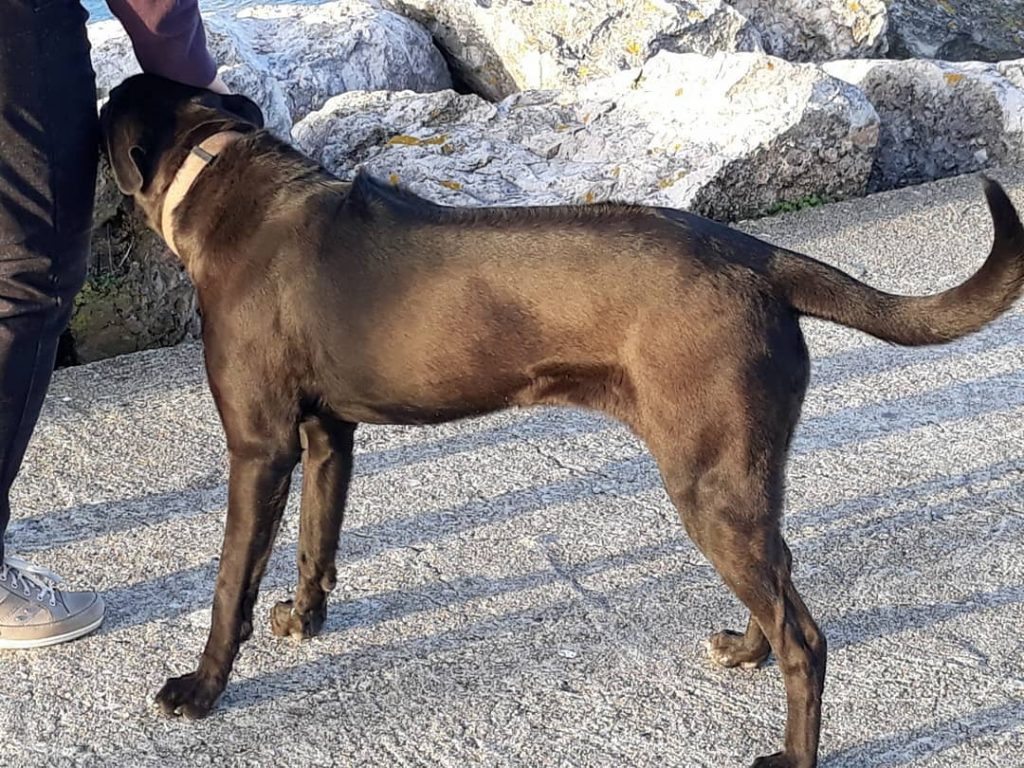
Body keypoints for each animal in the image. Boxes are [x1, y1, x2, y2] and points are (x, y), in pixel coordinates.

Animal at [97, 73, 1024, 768]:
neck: (220, 170)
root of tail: (758, 256)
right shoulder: (327, 437)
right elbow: (315, 546)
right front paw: (306, 619)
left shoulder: (259, 449)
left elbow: (230, 585)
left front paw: (201, 689)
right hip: (740, 475)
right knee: (782, 579)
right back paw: (746, 647)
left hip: (708, 481)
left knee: (807, 636)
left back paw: (793, 751)